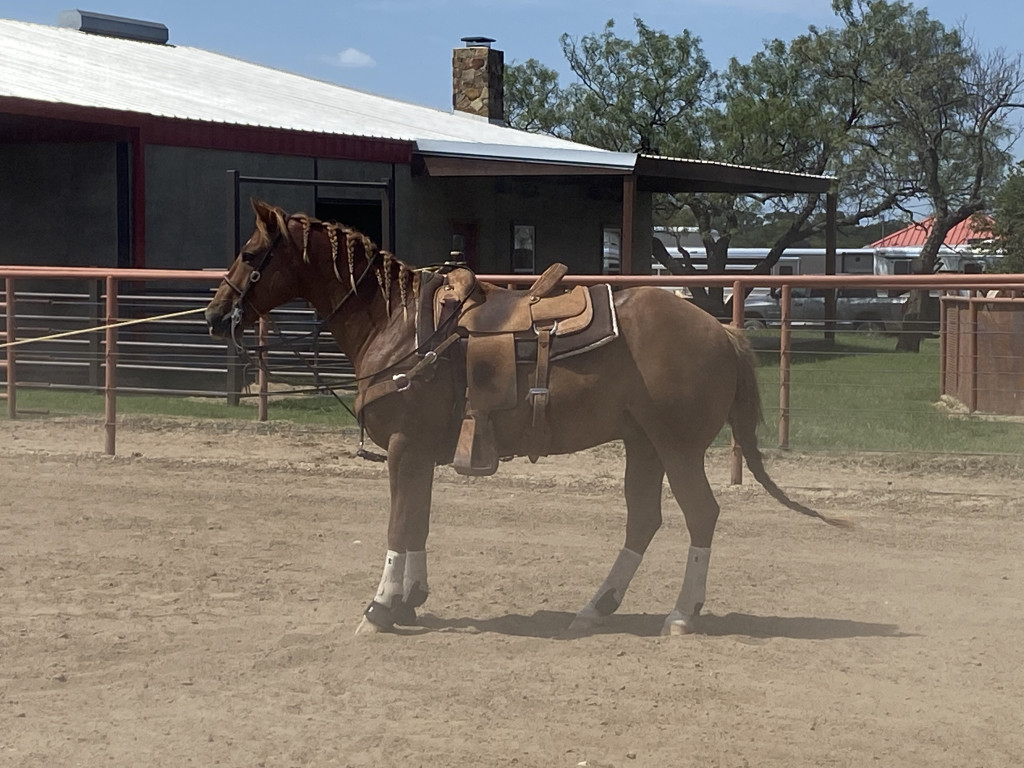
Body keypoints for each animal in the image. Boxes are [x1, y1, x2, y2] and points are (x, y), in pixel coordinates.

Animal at [205, 200, 847, 637]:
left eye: (250, 253)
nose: (214, 315)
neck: (402, 326)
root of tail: (721, 331)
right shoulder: (421, 454)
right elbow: (419, 524)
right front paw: (411, 599)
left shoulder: (404, 447)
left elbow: (397, 525)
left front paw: (381, 608)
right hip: (643, 445)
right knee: (644, 520)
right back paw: (595, 607)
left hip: (677, 447)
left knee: (701, 515)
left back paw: (681, 615)